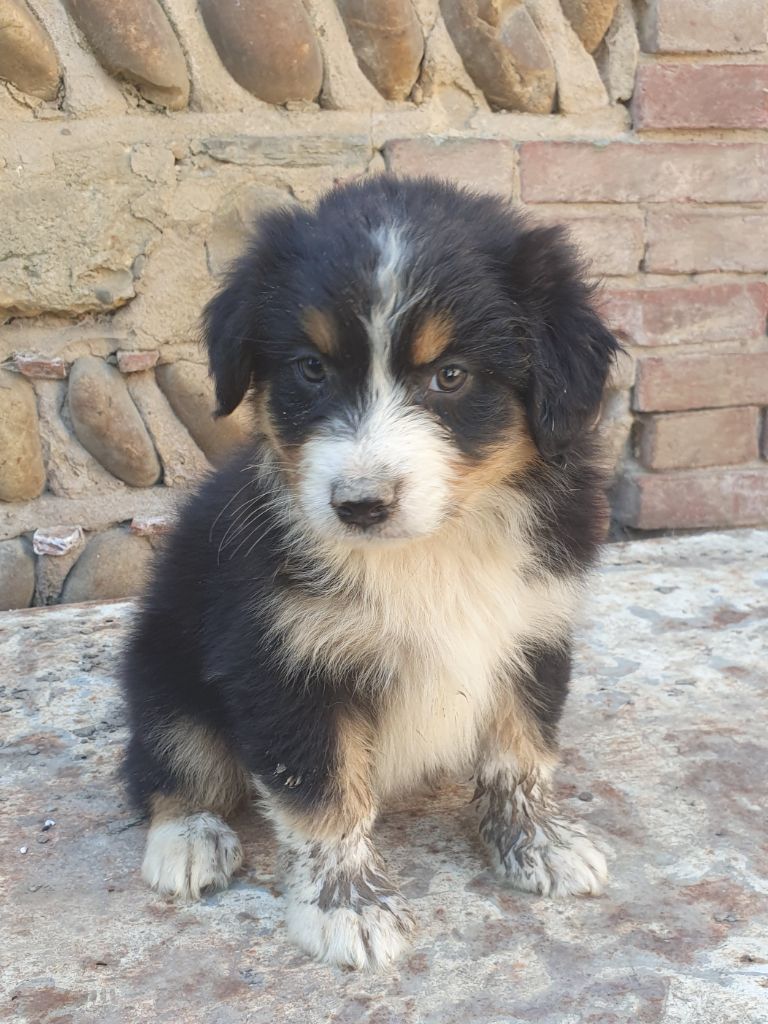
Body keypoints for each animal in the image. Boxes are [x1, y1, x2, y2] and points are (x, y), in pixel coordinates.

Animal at [121, 176, 618, 970]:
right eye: (311, 368)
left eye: (451, 375)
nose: (359, 506)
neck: (431, 550)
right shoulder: (284, 661)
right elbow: (326, 797)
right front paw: (348, 909)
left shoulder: (532, 628)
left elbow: (521, 753)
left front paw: (540, 844)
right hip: (164, 670)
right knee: (165, 762)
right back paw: (189, 839)